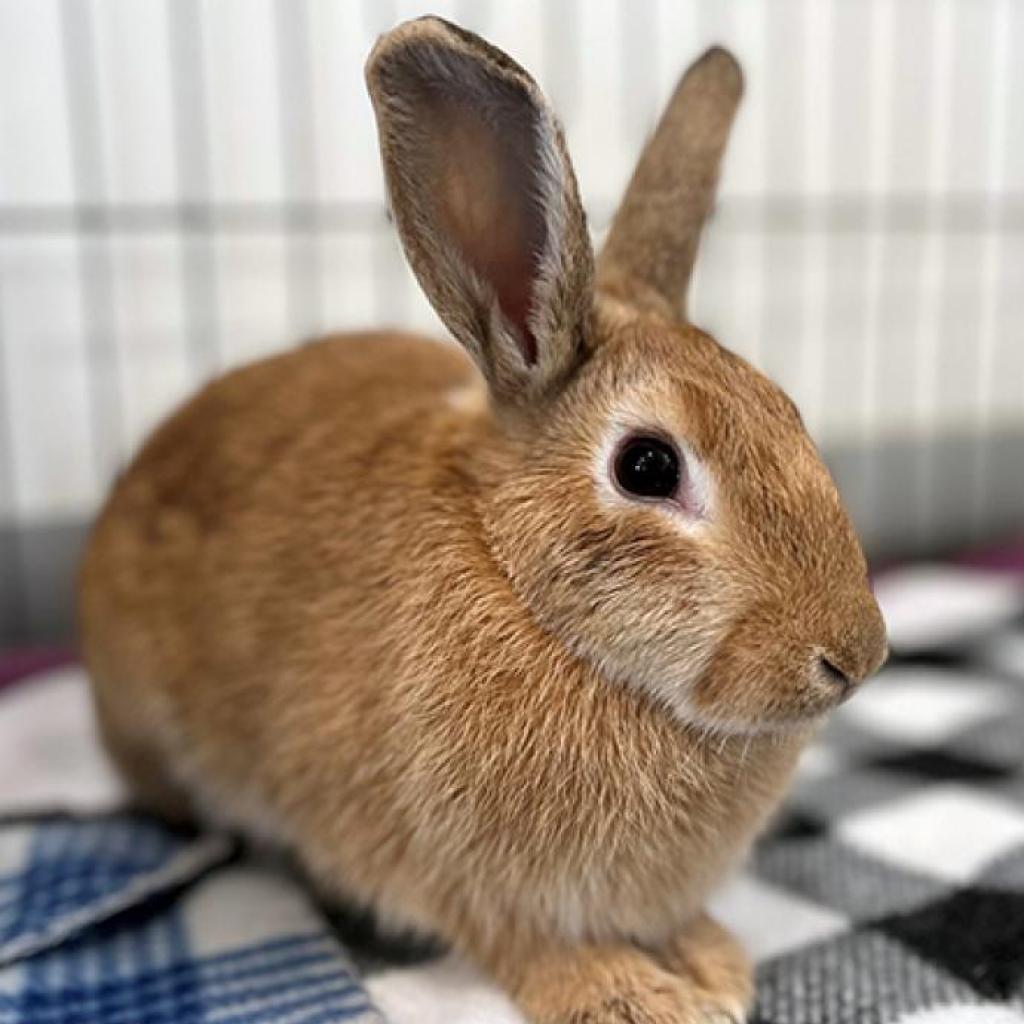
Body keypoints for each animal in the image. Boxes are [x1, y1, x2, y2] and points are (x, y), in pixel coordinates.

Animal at [77, 18, 888, 1024]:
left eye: (788, 411)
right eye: (647, 466)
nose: (856, 656)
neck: (527, 594)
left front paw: (710, 959)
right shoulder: (454, 871)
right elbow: (526, 942)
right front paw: (637, 996)